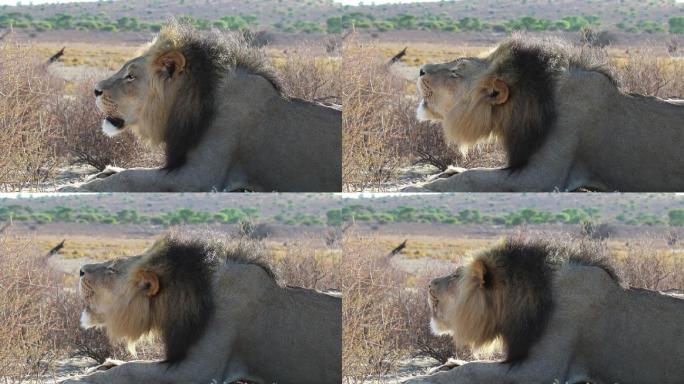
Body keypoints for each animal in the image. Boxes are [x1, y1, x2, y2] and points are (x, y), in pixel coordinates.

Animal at [59, 20, 342, 191]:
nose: (95, 90)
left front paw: (73, 187)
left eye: (131, 76)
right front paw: (97, 174)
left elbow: (130, 176)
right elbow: (124, 170)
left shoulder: (199, 176)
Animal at [62, 231, 340, 384]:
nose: (81, 270)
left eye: (111, 269)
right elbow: (122, 364)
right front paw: (99, 366)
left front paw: (77, 379)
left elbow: (130, 370)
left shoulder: (199, 370)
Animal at [404, 238, 684, 382]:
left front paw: (418, 380)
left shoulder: (543, 368)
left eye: (455, 276)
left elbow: (470, 369)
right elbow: (458, 365)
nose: (430, 284)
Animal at [408, 37, 684, 190]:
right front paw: (433, 177)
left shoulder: (541, 177)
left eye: (456, 72)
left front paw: (420, 187)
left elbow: (473, 177)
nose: (421, 70)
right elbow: (464, 171)